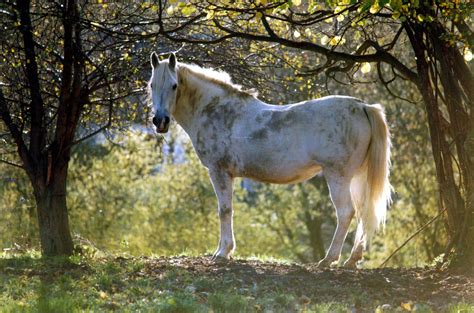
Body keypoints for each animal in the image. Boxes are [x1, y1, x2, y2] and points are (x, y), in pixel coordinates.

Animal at [149, 52, 392, 266]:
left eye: (174, 85)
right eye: (151, 85)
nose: (160, 121)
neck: (215, 109)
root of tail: (362, 106)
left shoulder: (219, 171)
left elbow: (224, 210)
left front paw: (222, 252)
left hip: (338, 176)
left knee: (345, 212)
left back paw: (328, 259)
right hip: (357, 176)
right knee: (362, 212)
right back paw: (352, 260)